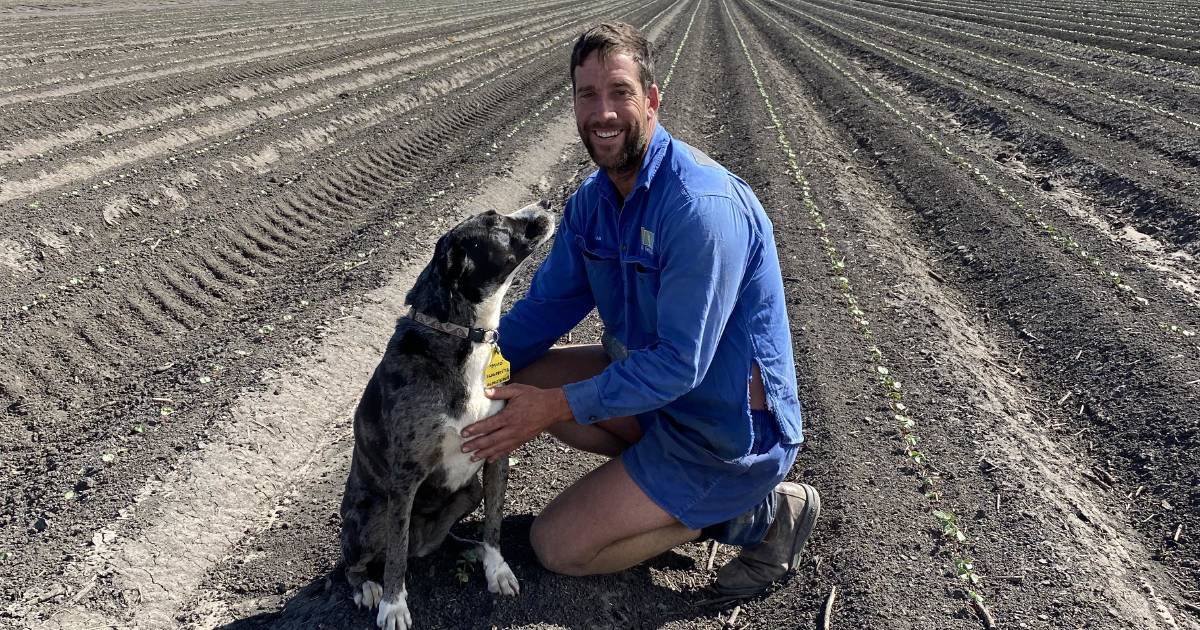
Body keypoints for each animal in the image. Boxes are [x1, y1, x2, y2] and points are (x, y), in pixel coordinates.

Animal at [340, 202, 554, 628]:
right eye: (496, 225)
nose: (545, 206)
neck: (463, 337)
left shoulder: (496, 452)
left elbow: (494, 522)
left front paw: (496, 568)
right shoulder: (405, 479)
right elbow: (395, 558)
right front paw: (393, 605)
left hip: (468, 492)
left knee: (427, 545)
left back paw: (468, 547)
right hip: (372, 514)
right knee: (360, 562)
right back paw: (367, 587)